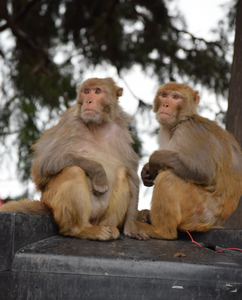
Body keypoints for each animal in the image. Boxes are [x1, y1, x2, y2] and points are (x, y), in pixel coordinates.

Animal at [0, 78, 147, 241]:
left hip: (99, 217)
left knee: (122, 173)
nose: (88, 101)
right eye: (86, 91)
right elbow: (45, 163)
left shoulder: (122, 131)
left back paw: (109, 228)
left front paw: (132, 228)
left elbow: (132, 175)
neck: (98, 125)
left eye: (97, 91)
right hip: (53, 201)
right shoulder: (71, 122)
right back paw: (80, 230)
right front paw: (98, 173)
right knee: (73, 170)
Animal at [137, 81, 242, 239]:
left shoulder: (191, 131)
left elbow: (203, 172)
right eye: (164, 95)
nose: (166, 104)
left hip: (199, 212)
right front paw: (146, 171)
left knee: (169, 177)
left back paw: (161, 231)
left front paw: (154, 160)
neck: (181, 120)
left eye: (175, 97)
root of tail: (214, 224)